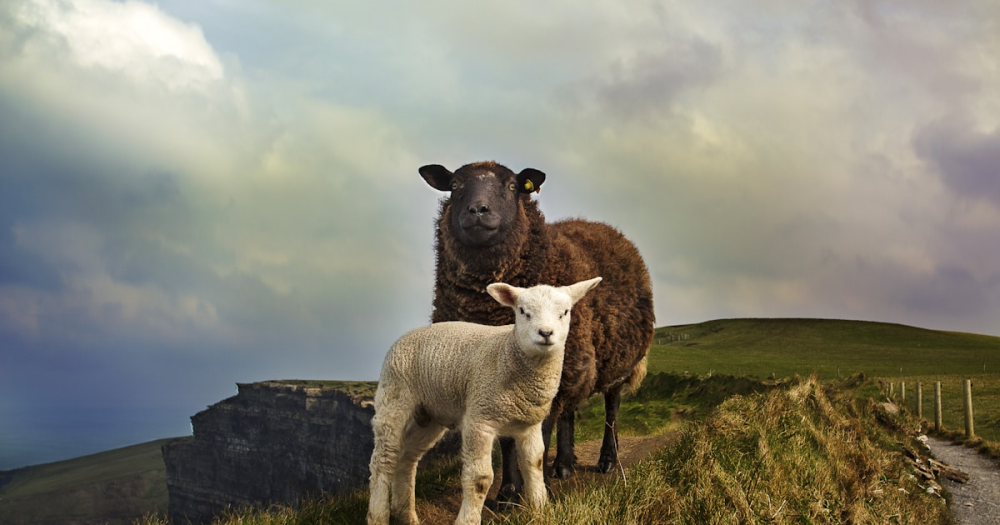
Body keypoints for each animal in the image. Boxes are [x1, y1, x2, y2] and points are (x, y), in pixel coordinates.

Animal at [366, 277, 602, 525]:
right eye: (523, 311)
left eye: (565, 312)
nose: (545, 333)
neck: (508, 353)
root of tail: (408, 334)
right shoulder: (480, 419)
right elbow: (480, 478)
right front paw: (468, 519)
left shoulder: (529, 424)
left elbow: (535, 463)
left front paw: (540, 509)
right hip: (394, 396)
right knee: (384, 459)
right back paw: (378, 516)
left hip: (430, 414)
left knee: (407, 458)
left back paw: (406, 515)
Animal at [419, 161, 655, 507]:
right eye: (455, 185)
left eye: (512, 186)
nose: (478, 210)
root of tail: (604, 227)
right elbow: (508, 441)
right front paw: (507, 493)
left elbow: (539, 435)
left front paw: (535, 491)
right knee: (570, 411)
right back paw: (564, 465)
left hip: (616, 360)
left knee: (611, 407)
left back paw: (607, 460)